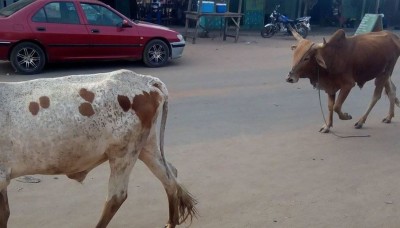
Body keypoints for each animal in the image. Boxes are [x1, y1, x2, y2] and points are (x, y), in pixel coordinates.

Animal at [0, 68, 196, 227]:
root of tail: (143, 80)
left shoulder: (1, 176)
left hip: (124, 152)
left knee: (116, 196)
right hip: (146, 146)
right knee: (169, 176)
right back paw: (171, 222)